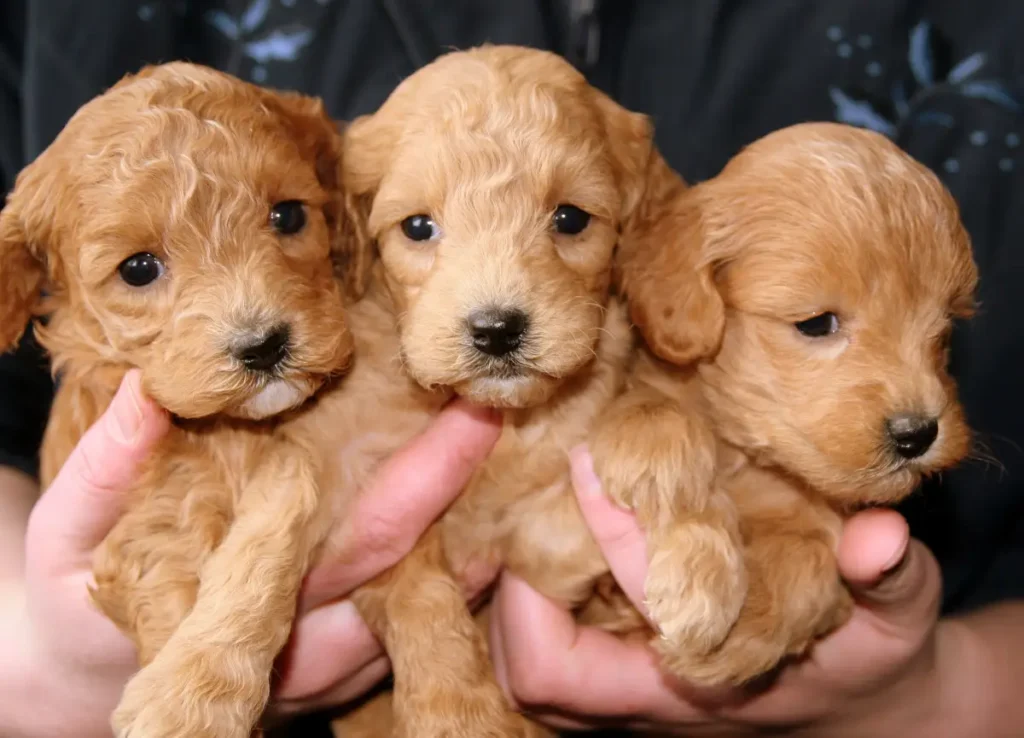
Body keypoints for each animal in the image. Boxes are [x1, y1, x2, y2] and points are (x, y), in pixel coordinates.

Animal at [0, 64, 366, 736]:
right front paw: (190, 698)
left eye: (288, 215)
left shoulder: (303, 452)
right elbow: (166, 560)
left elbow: (267, 533)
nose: (263, 345)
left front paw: (196, 690)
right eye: (139, 268)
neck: (225, 434)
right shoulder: (141, 514)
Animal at [598, 122, 978, 683]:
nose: (918, 433)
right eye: (817, 324)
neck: (751, 459)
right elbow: (655, 411)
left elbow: (807, 562)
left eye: (944, 330)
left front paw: (742, 627)